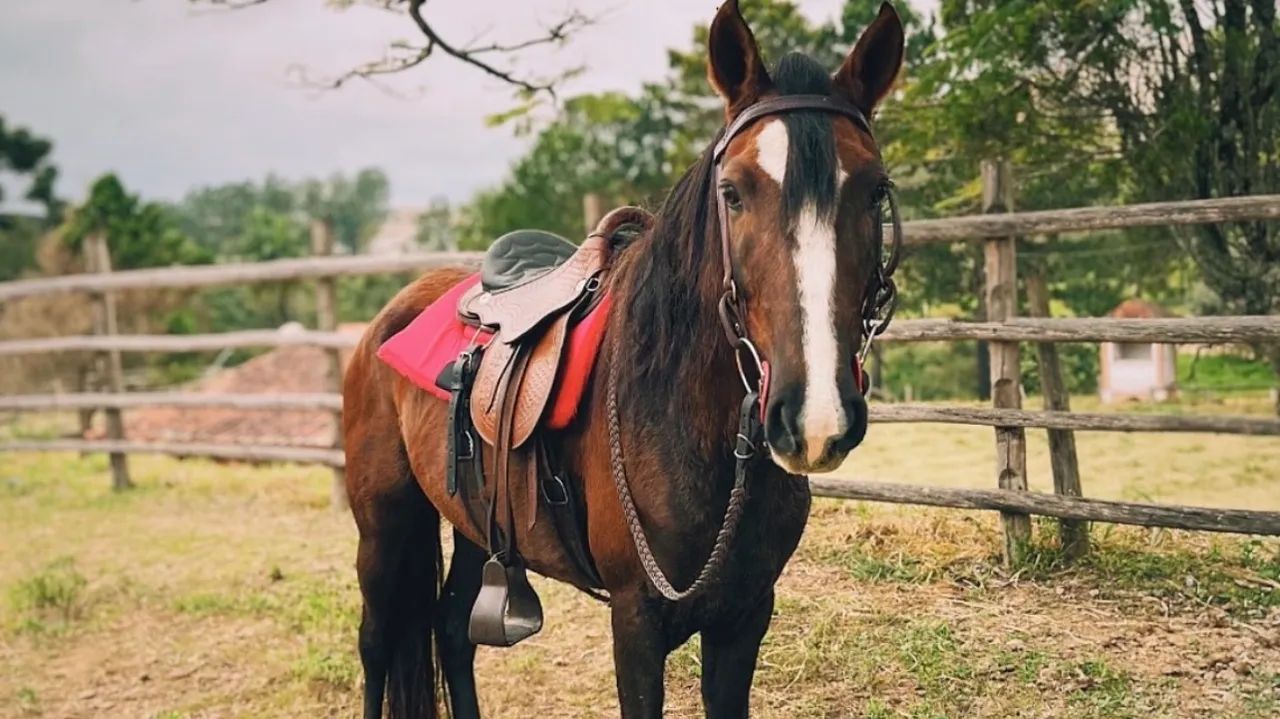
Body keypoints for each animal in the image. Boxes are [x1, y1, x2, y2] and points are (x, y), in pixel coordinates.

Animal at [341, 1, 905, 716]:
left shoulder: (746, 616)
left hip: (472, 525)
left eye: (874, 190)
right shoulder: (635, 621)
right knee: (377, 644)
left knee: (452, 630)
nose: (813, 415)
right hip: (383, 527)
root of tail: (386, 320)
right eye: (733, 192)